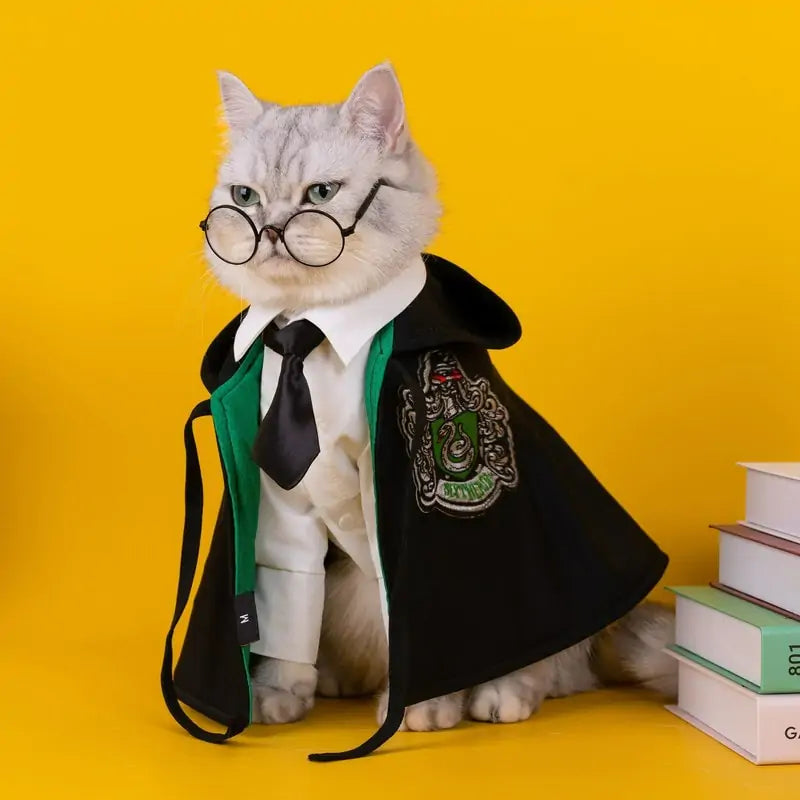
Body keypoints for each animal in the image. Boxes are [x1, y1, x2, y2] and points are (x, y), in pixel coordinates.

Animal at [205, 64, 676, 732]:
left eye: (320, 193)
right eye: (245, 198)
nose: (268, 230)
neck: (311, 334)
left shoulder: (402, 511)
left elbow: (419, 622)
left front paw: (421, 707)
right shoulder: (282, 507)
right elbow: (285, 608)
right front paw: (278, 690)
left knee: (552, 666)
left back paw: (502, 692)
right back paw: (340, 679)